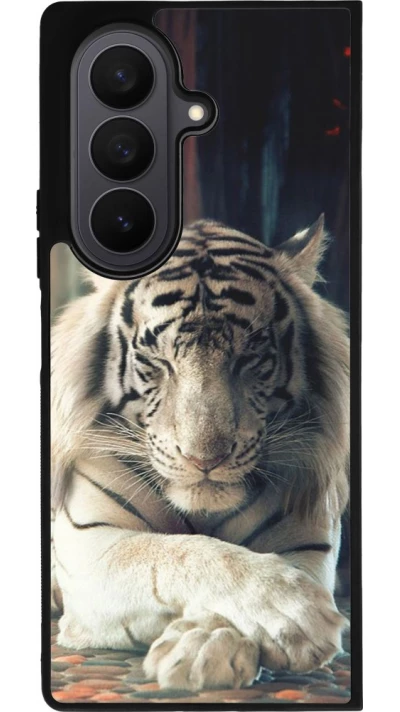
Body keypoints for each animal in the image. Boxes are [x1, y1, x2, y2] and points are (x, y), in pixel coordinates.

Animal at [51, 216, 349, 692]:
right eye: (157, 360)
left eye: (250, 358)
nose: (204, 459)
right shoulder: (91, 544)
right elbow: (179, 552)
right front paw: (293, 612)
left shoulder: (307, 544)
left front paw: (204, 647)